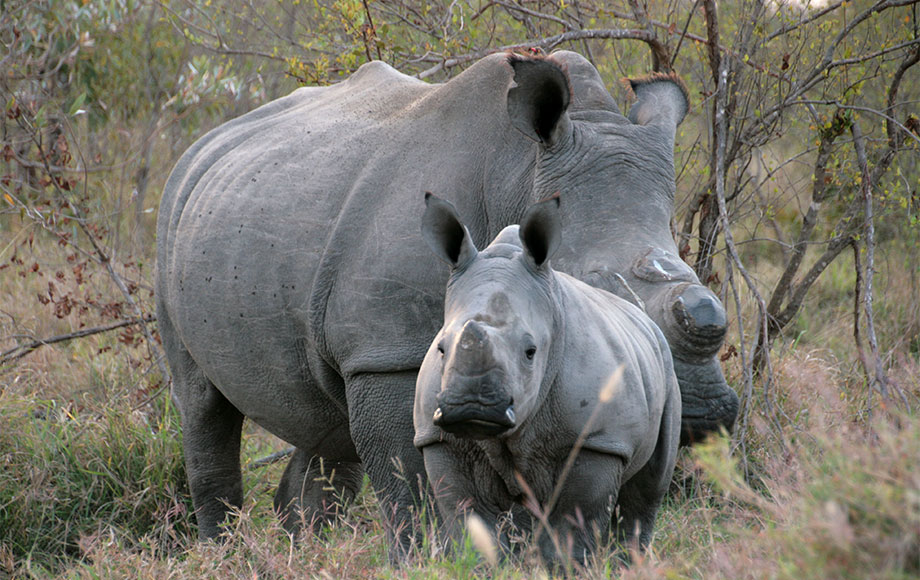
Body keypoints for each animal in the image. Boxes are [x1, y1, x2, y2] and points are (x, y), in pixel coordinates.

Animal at [416, 194, 684, 560]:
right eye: (441, 348)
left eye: (531, 351)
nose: (472, 406)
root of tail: (644, 318)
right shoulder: (440, 438)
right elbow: (471, 521)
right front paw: (478, 564)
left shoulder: (597, 439)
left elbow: (571, 524)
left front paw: (567, 566)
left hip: (667, 371)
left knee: (647, 491)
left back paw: (630, 561)